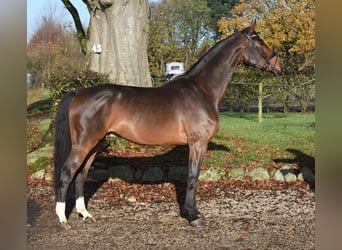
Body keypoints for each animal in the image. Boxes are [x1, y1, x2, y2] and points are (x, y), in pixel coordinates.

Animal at [54, 20, 284, 229]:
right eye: (260, 42)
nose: (280, 67)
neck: (201, 90)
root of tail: (79, 92)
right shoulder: (198, 143)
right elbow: (192, 176)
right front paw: (193, 216)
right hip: (84, 143)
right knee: (67, 172)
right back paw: (63, 219)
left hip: (96, 143)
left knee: (81, 175)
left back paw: (85, 214)